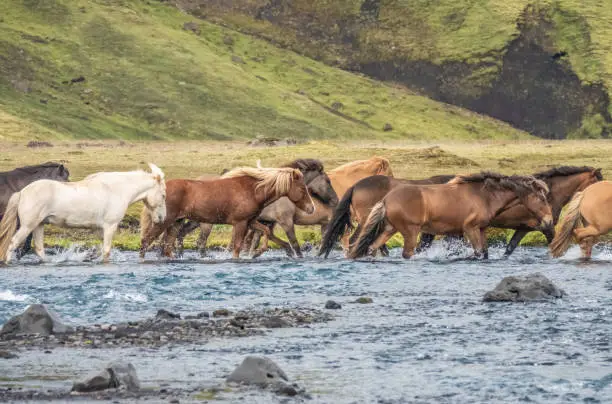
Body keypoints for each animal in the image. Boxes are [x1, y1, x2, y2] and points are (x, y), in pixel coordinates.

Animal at [0, 164, 166, 266]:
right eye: (164, 195)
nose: (162, 218)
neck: (117, 189)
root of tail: (22, 192)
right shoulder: (110, 226)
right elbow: (106, 251)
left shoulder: (99, 229)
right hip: (27, 226)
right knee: (12, 243)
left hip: (39, 225)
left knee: (39, 249)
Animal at [140, 166, 316, 260]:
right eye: (302, 188)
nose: (311, 208)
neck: (253, 190)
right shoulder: (240, 223)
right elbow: (237, 246)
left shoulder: (250, 221)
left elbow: (265, 231)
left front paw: (257, 253)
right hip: (164, 221)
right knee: (146, 241)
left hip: (176, 223)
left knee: (166, 247)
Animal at [350, 172, 556, 260]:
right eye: (541, 198)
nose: (549, 221)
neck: (484, 195)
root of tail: (386, 199)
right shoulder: (469, 228)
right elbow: (478, 252)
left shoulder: (481, 229)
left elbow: (485, 253)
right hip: (410, 231)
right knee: (407, 253)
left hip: (390, 229)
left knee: (372, 247)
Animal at [416, 166, 604, 256]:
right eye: (598, 183)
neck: (551, 193)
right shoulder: (546, 227)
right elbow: (554, 243)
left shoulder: (523, 228)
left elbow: (510, 248)